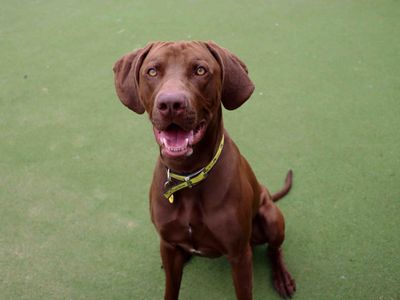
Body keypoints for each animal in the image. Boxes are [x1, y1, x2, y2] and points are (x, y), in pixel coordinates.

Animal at [114, 41, 296, 298]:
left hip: (271, 218)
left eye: (200, 70)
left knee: (274, 249)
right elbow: (171, 288)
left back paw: (281, 276)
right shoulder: (168, 245)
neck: (188, 175)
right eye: (152, 71)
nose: (171, 104)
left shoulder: (239, 255)